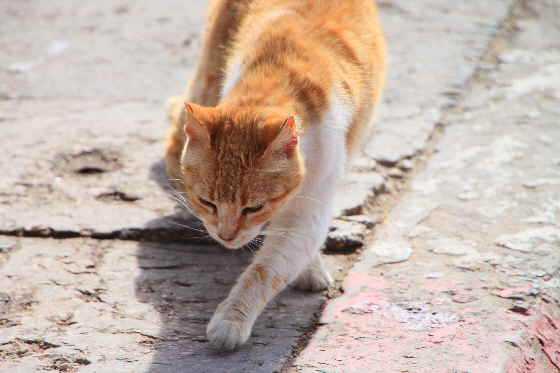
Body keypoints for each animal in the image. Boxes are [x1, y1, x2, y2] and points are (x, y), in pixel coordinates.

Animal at [164, 0, 388, 348]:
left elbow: (267, 268)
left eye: (254, 207)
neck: (277, 77)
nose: (226, 237)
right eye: (207, 202)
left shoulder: (310, 203)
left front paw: (232, 318)